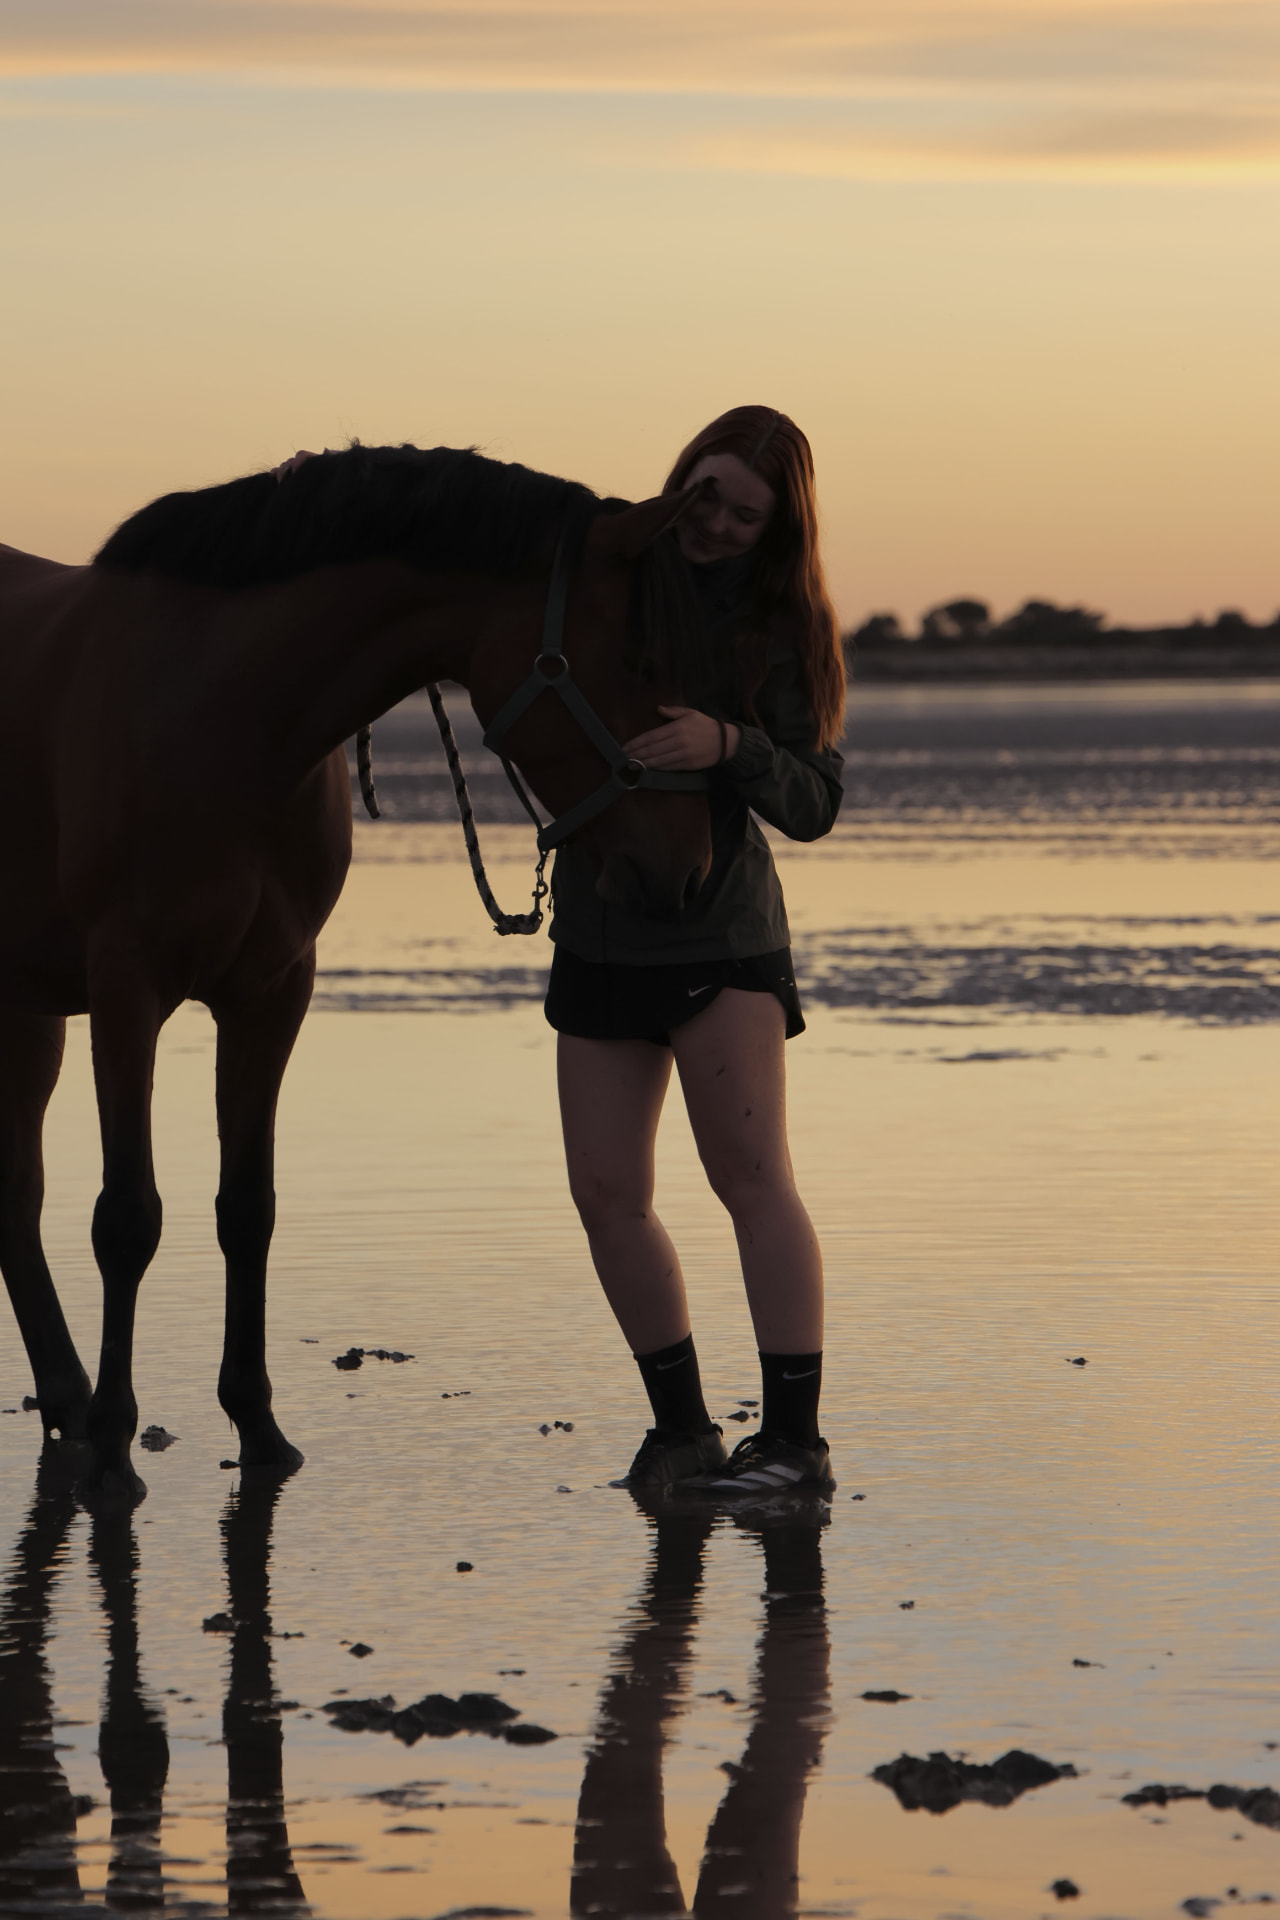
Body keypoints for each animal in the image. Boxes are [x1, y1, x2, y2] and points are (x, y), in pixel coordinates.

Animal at [0, 443, 714, 1498]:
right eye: (642, 662)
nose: (689, 872)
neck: (219, 713)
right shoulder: (126, 990)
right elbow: (127, 1219)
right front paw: (118, 1452)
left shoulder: (271, 992)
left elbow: (246, 1210)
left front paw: (256, 1430)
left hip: (29, 1010)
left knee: (16, 1191)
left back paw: (64, 1400)